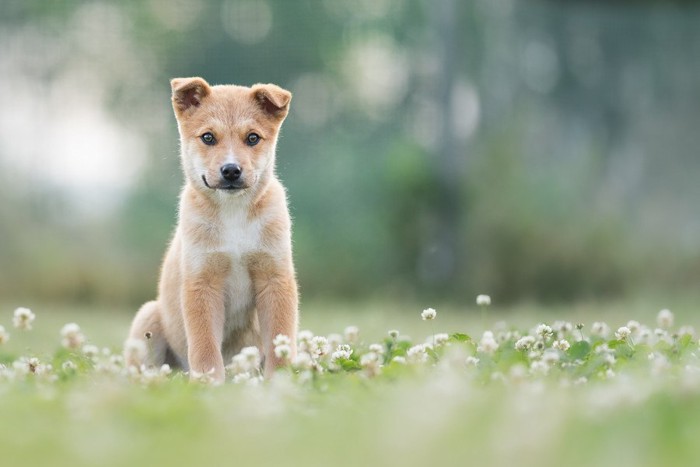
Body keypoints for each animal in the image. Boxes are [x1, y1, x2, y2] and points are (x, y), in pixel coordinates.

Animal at [126, 77, 298, 384]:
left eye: (252, 138)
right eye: (208, 137)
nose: (231, 170)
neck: (234, 213)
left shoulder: (275, 278)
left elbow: (280, 340)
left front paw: (280, 381)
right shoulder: (202, 282)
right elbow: (205, 346)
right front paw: (210, 384)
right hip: (148, 317)